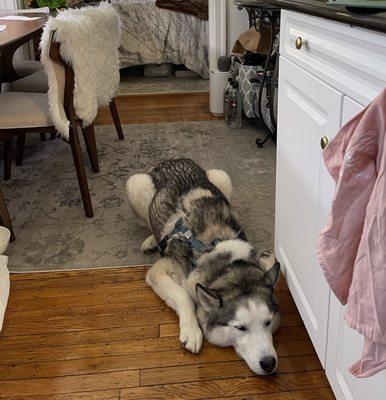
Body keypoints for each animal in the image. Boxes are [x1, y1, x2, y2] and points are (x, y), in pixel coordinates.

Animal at [126, 158, 280, 374]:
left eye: (268, 322)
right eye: (240, 328)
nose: (269, 363)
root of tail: (174, 159)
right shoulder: (159, 272)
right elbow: (184, 296)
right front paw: (191, 330)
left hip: (222, 177)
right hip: (137, 184)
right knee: (147, 223)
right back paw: (151, 240)